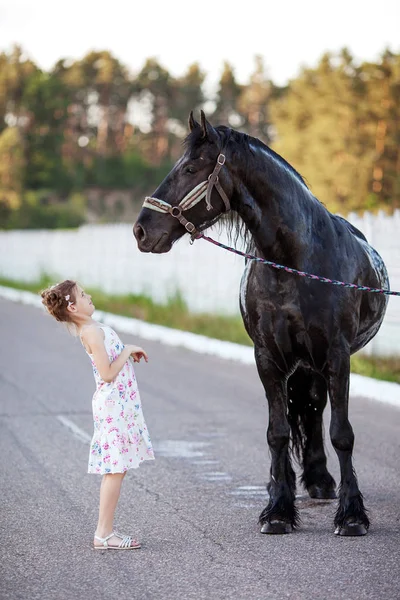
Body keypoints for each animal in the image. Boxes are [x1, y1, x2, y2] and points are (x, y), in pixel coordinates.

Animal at [133, 110, 390, 536]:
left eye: (190, 169)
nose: (141, 230)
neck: (294, 261)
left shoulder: (337, 357)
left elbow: (342, 434)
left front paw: (352, 514)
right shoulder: (268, 357)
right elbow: (277, 432)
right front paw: (278, 511)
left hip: (315, 363)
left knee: (315, 409)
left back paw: (321, 482)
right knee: (303, 414)